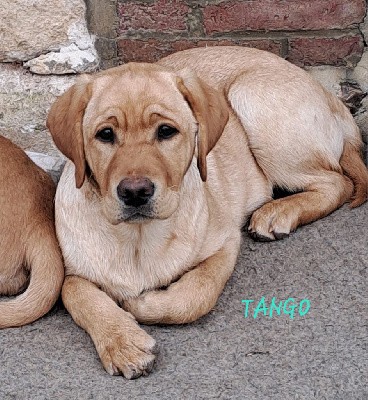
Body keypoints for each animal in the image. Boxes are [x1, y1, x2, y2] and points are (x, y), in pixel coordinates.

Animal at [46, 47, 368, 378]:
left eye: (166, 131)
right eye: (105, 134)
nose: (135, 192)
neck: (138, 238)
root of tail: (331, 98)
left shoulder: (225, 244)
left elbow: (197, 292)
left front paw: (143, 304)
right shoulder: (72, 273)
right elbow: (81, 298)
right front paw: (122, 344)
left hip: (252, 100)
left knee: (338, 182)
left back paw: (278, 212)